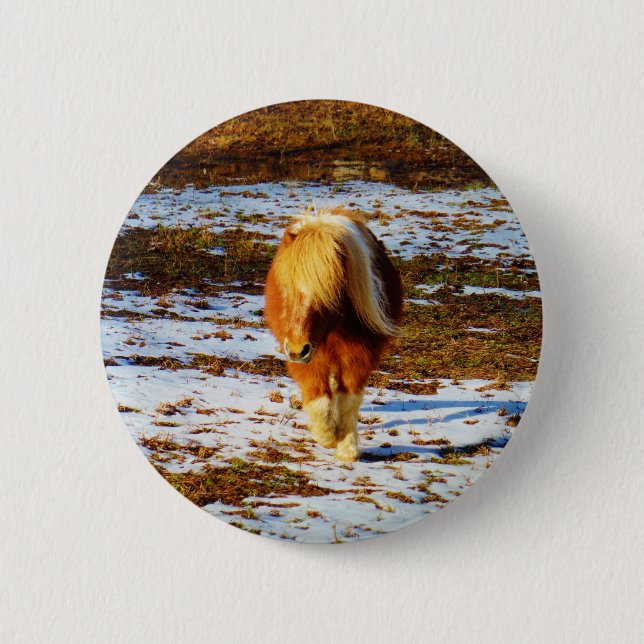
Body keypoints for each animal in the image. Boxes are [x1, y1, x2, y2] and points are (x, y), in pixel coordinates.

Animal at [264, 206, 403, 462]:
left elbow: (348, 400)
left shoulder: (359, 355)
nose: (297, 349)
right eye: (286, 289)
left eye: (328, 294)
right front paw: (326, 435)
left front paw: (347, 447)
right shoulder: (307, 358)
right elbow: (318, 397)